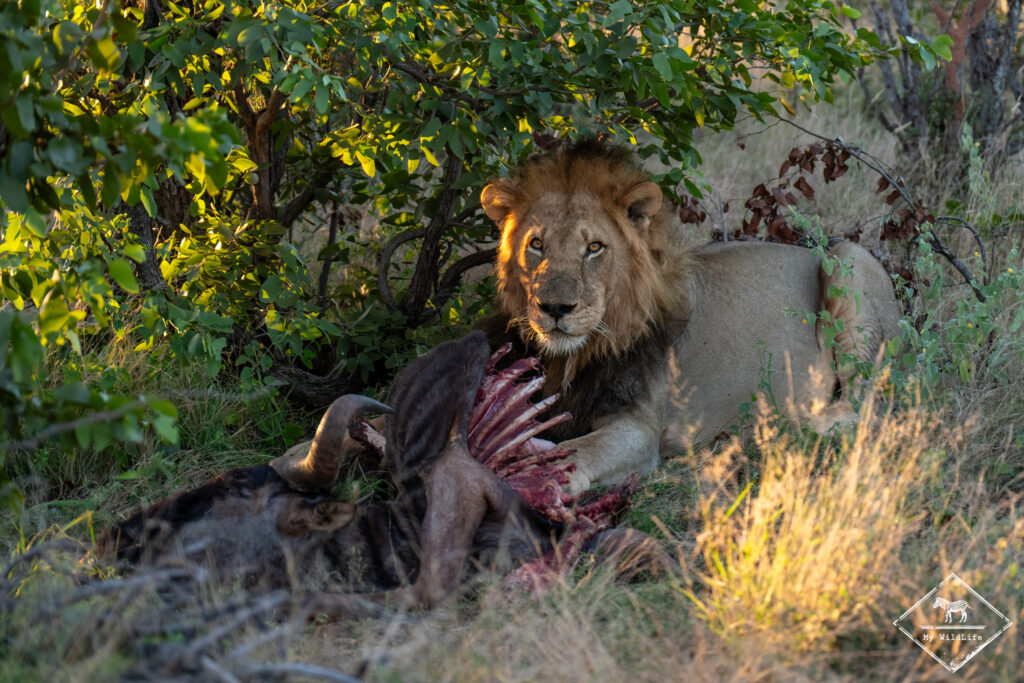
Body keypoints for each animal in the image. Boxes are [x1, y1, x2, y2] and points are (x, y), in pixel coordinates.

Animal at [479, 139, 901, 494]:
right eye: (537, 244)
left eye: (594, 248)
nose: (554, 307)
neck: (575, 355)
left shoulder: (640, 427)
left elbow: (579, 450)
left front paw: (537, 476)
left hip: (849, 258)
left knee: (868, 408)